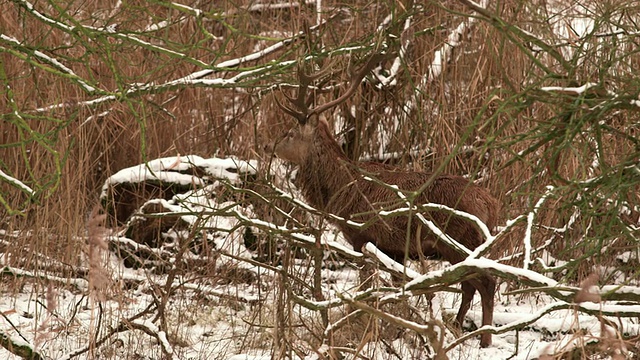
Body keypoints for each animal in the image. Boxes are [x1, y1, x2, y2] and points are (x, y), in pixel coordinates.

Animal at [268, 54, 498, 348]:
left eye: (289, 133)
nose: (269, 146)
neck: (340, 191)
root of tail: (491, 205)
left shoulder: (361, 236)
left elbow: (366, 288)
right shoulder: (395, 249)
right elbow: (397, 287)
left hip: (460, 241)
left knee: (486, 282)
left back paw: (485, 340)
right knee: (469, 285)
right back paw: (458, 327)